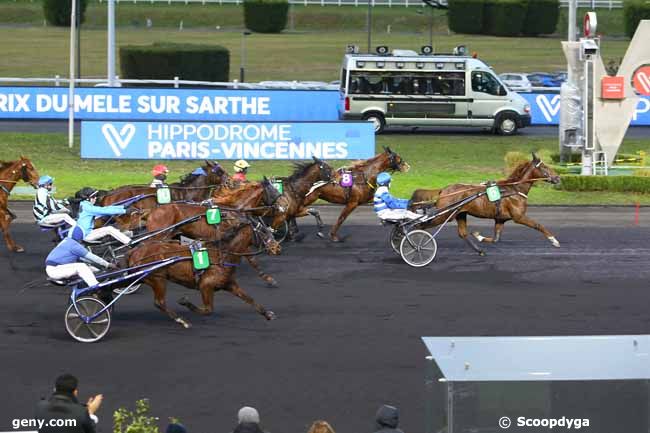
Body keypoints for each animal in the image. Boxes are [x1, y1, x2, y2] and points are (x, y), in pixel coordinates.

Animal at [126, 213, 278, 328]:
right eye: (263, 232)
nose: (277, 247)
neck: (221, 255)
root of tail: (135, 251)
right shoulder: (206, 285)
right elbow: (208, 310)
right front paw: (184, 302)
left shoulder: (229, 283)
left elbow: (249, 298)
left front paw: (268, 314)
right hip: (157, 278)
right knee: (159, 302)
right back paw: (182, 321)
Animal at [410, 152, 556, 255]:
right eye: (545, 167)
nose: (557, 178)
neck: (514, 189)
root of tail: (444, 190)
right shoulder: (518, 217)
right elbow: (538, 225)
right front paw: (554, 241)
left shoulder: (500, 219)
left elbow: (496, 238)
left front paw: (478, 236)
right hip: (444, 215)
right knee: (420, 225)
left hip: (460, 214)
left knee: (462, 233)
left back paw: (479, 251)